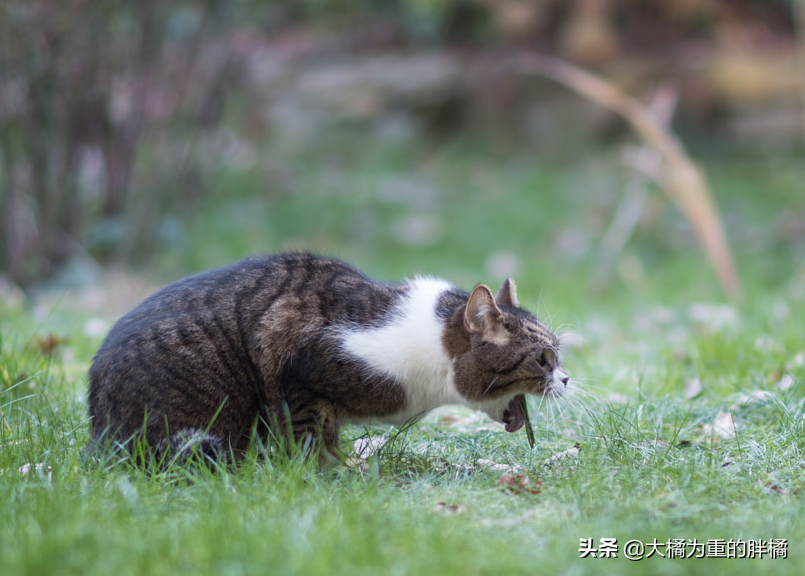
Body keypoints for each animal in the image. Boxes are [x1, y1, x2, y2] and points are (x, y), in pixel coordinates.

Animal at [86, 252, 564, 464]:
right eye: (543, 358)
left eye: (558, 353)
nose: (566, 378)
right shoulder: (295, 361)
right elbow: (313, 434)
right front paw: (332, 474)